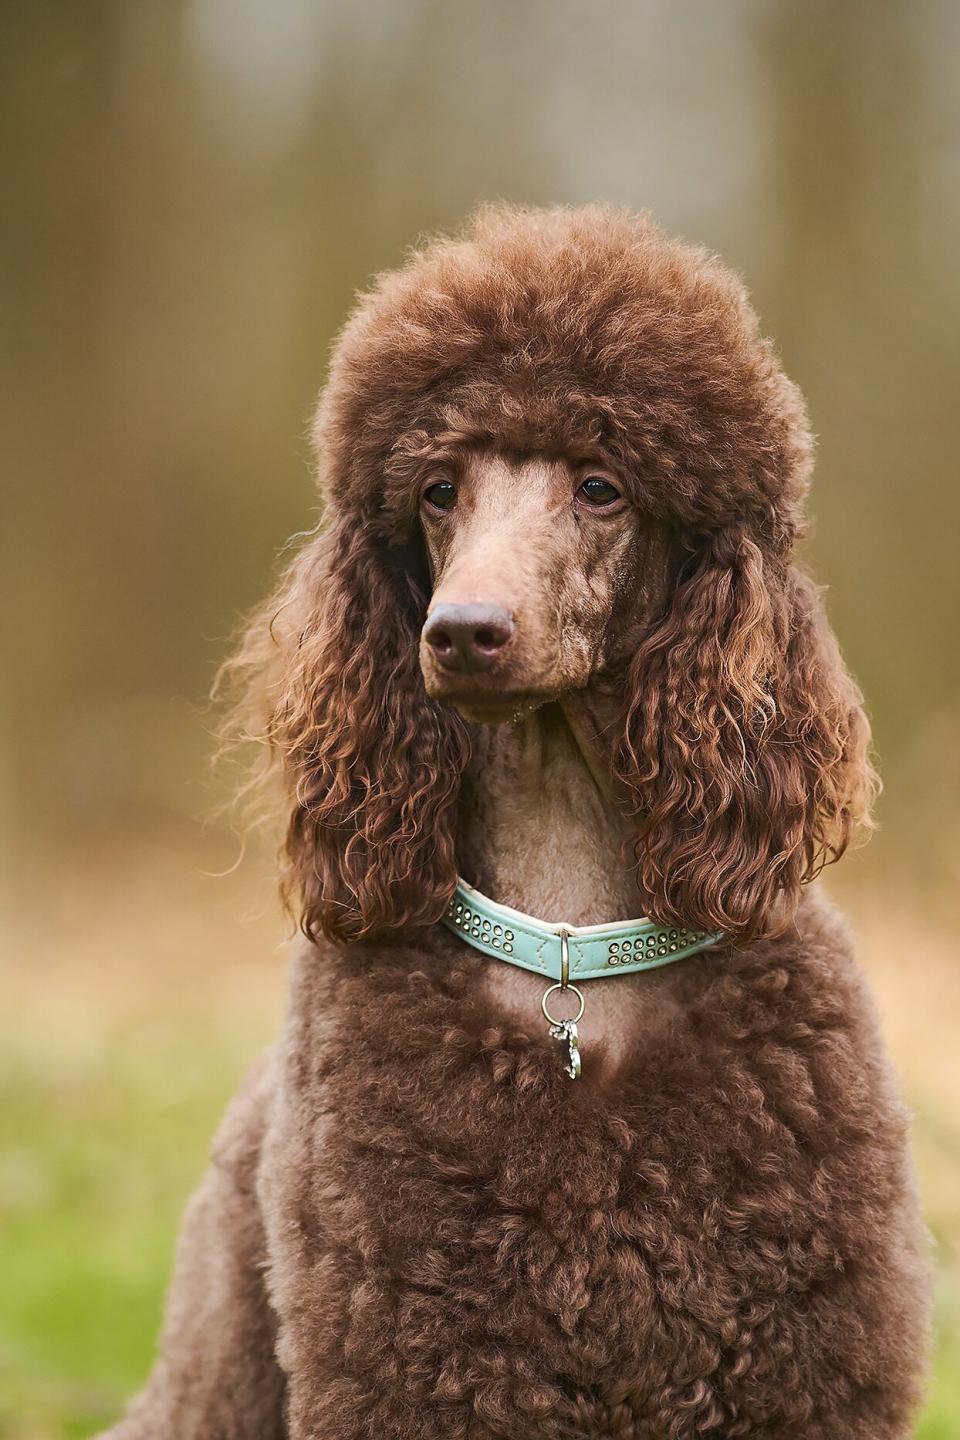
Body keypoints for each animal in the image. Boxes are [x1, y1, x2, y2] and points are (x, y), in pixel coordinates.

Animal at [103, 205, 932, 1440]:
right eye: (439, 491)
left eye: (601, 487)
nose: (463, 631)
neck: (575, 956)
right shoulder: (417, 1371)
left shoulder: (797, 1381)